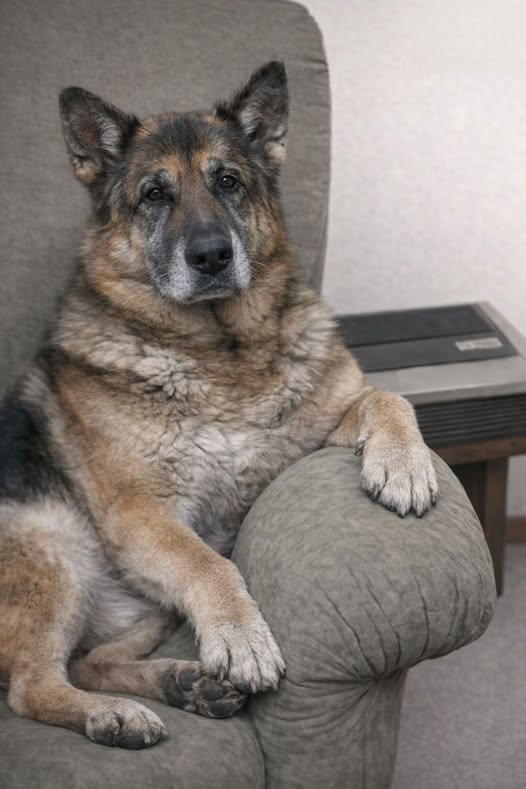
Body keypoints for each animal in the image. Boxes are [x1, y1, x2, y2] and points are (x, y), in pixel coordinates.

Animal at [0, 61, 438, 749]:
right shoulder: (141, 515)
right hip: (57, 554)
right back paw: (113, 715)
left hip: (140, 609)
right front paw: (242, 638)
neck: (219, 351)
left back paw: (180, 684)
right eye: (154, 195)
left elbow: (388, 398)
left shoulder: (313, 432)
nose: (210, 256)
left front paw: (403, 465)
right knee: (30, 687)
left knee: (92, 661)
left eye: (228, 182)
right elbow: (207, 564)